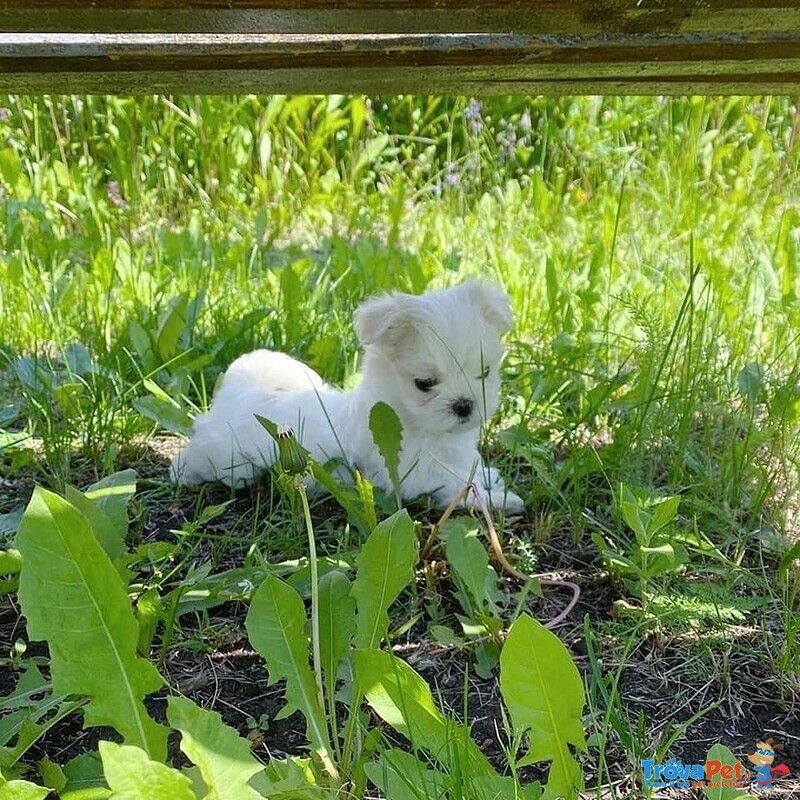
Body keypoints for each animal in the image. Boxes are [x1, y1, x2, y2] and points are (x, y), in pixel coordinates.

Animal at [170, 278, 524, 510]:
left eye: (485, 373)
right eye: (424, 383)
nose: (464, 405)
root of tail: (236, 394)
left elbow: (470, 469)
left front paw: (492, 480)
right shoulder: (410, 472)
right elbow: (457, 483)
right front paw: (498, 499)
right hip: (225, 455)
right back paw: (185, 473)